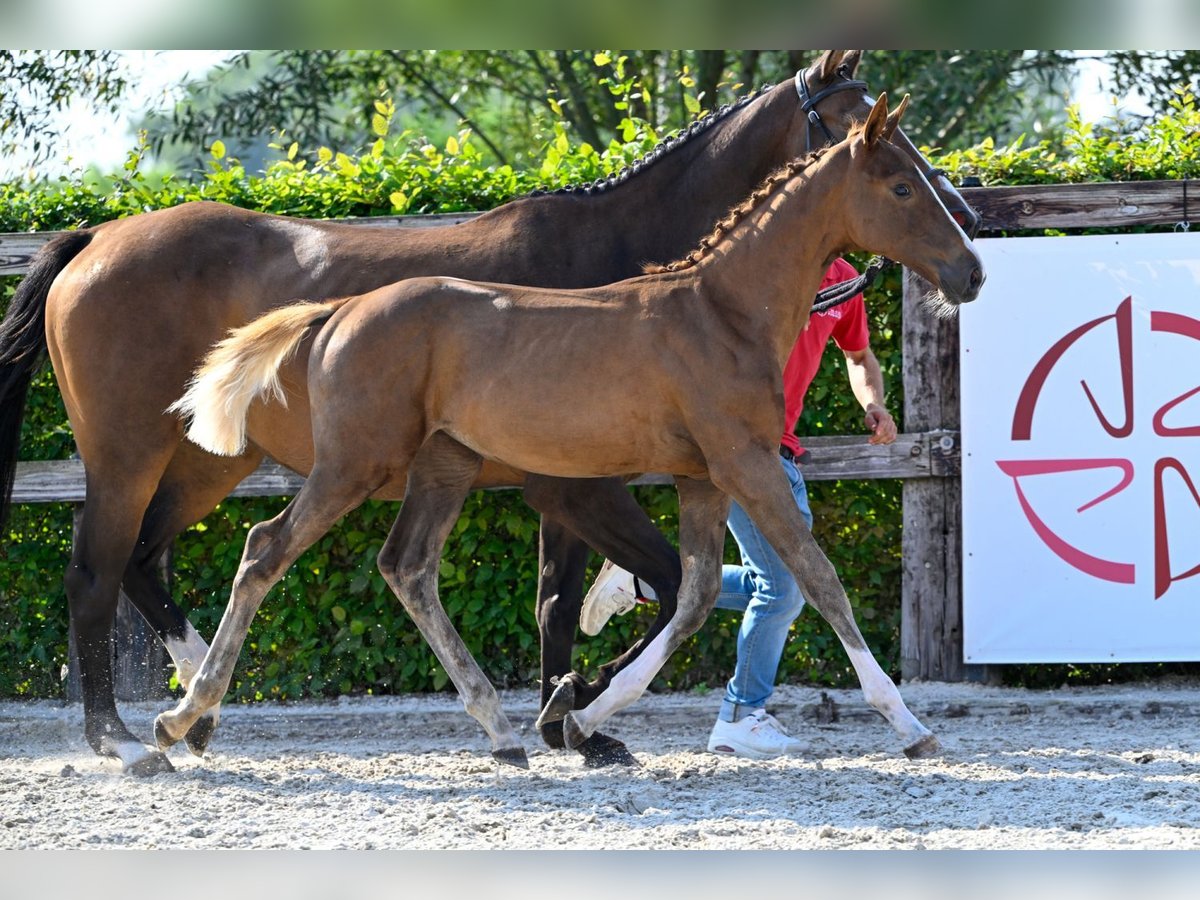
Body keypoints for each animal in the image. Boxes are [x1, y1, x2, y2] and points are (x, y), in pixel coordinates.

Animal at [0, 51, 979, 777]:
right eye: (893, 166)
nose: (971, 259)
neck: (706, 298)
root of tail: (97, 236)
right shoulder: (637, 474)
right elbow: (782, 580)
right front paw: (580, 709)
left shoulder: (675, 473)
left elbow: (651, 594)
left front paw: (577, 713)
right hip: (169, 453)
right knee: (132, 565)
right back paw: (135, 734)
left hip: (241, 458)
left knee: (229, 562)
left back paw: (204, 714)